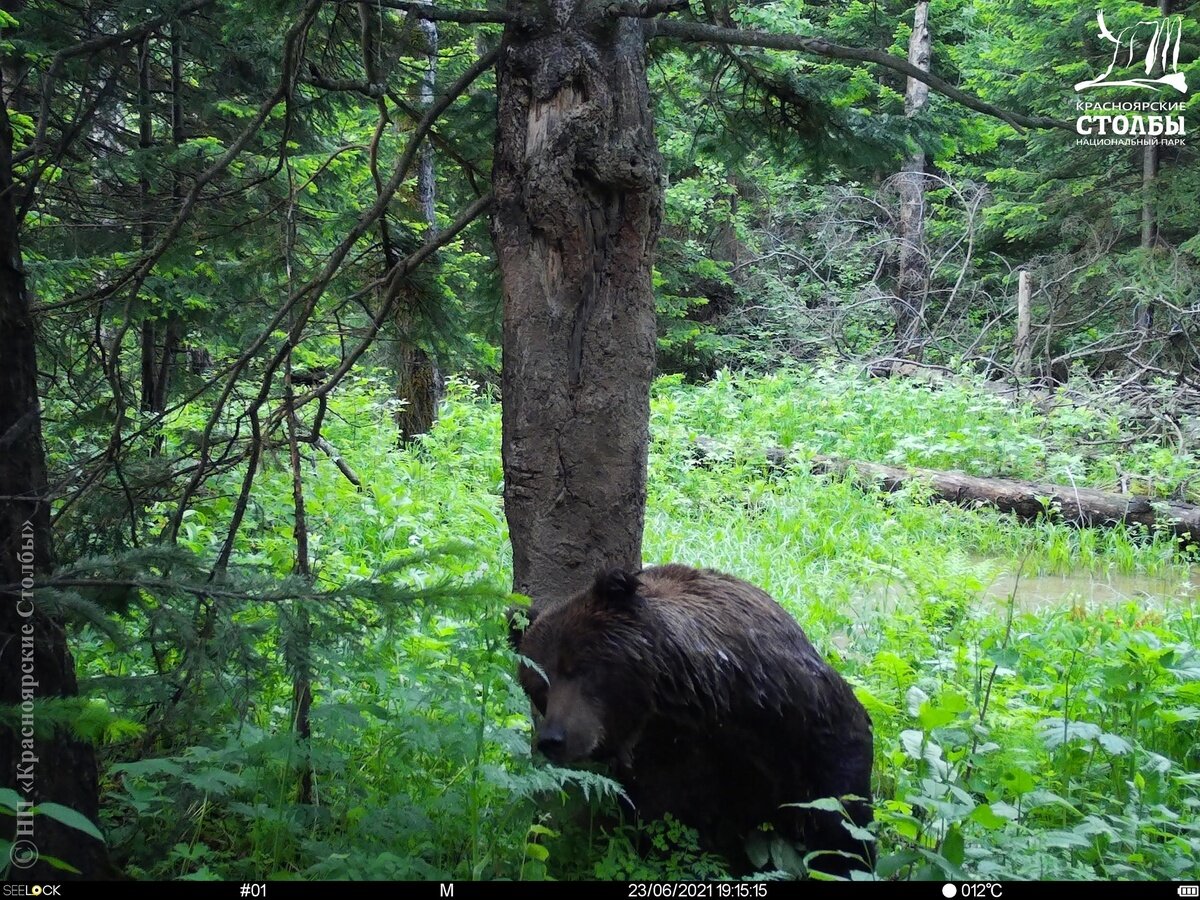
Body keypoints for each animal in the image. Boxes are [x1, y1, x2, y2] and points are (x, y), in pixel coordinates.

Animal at [506, 566, 873, 878]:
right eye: (539, 684)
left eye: (579, 668)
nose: (553, 738)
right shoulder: (665, 762)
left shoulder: (781, 703)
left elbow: (838, 792)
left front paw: (846, 858)